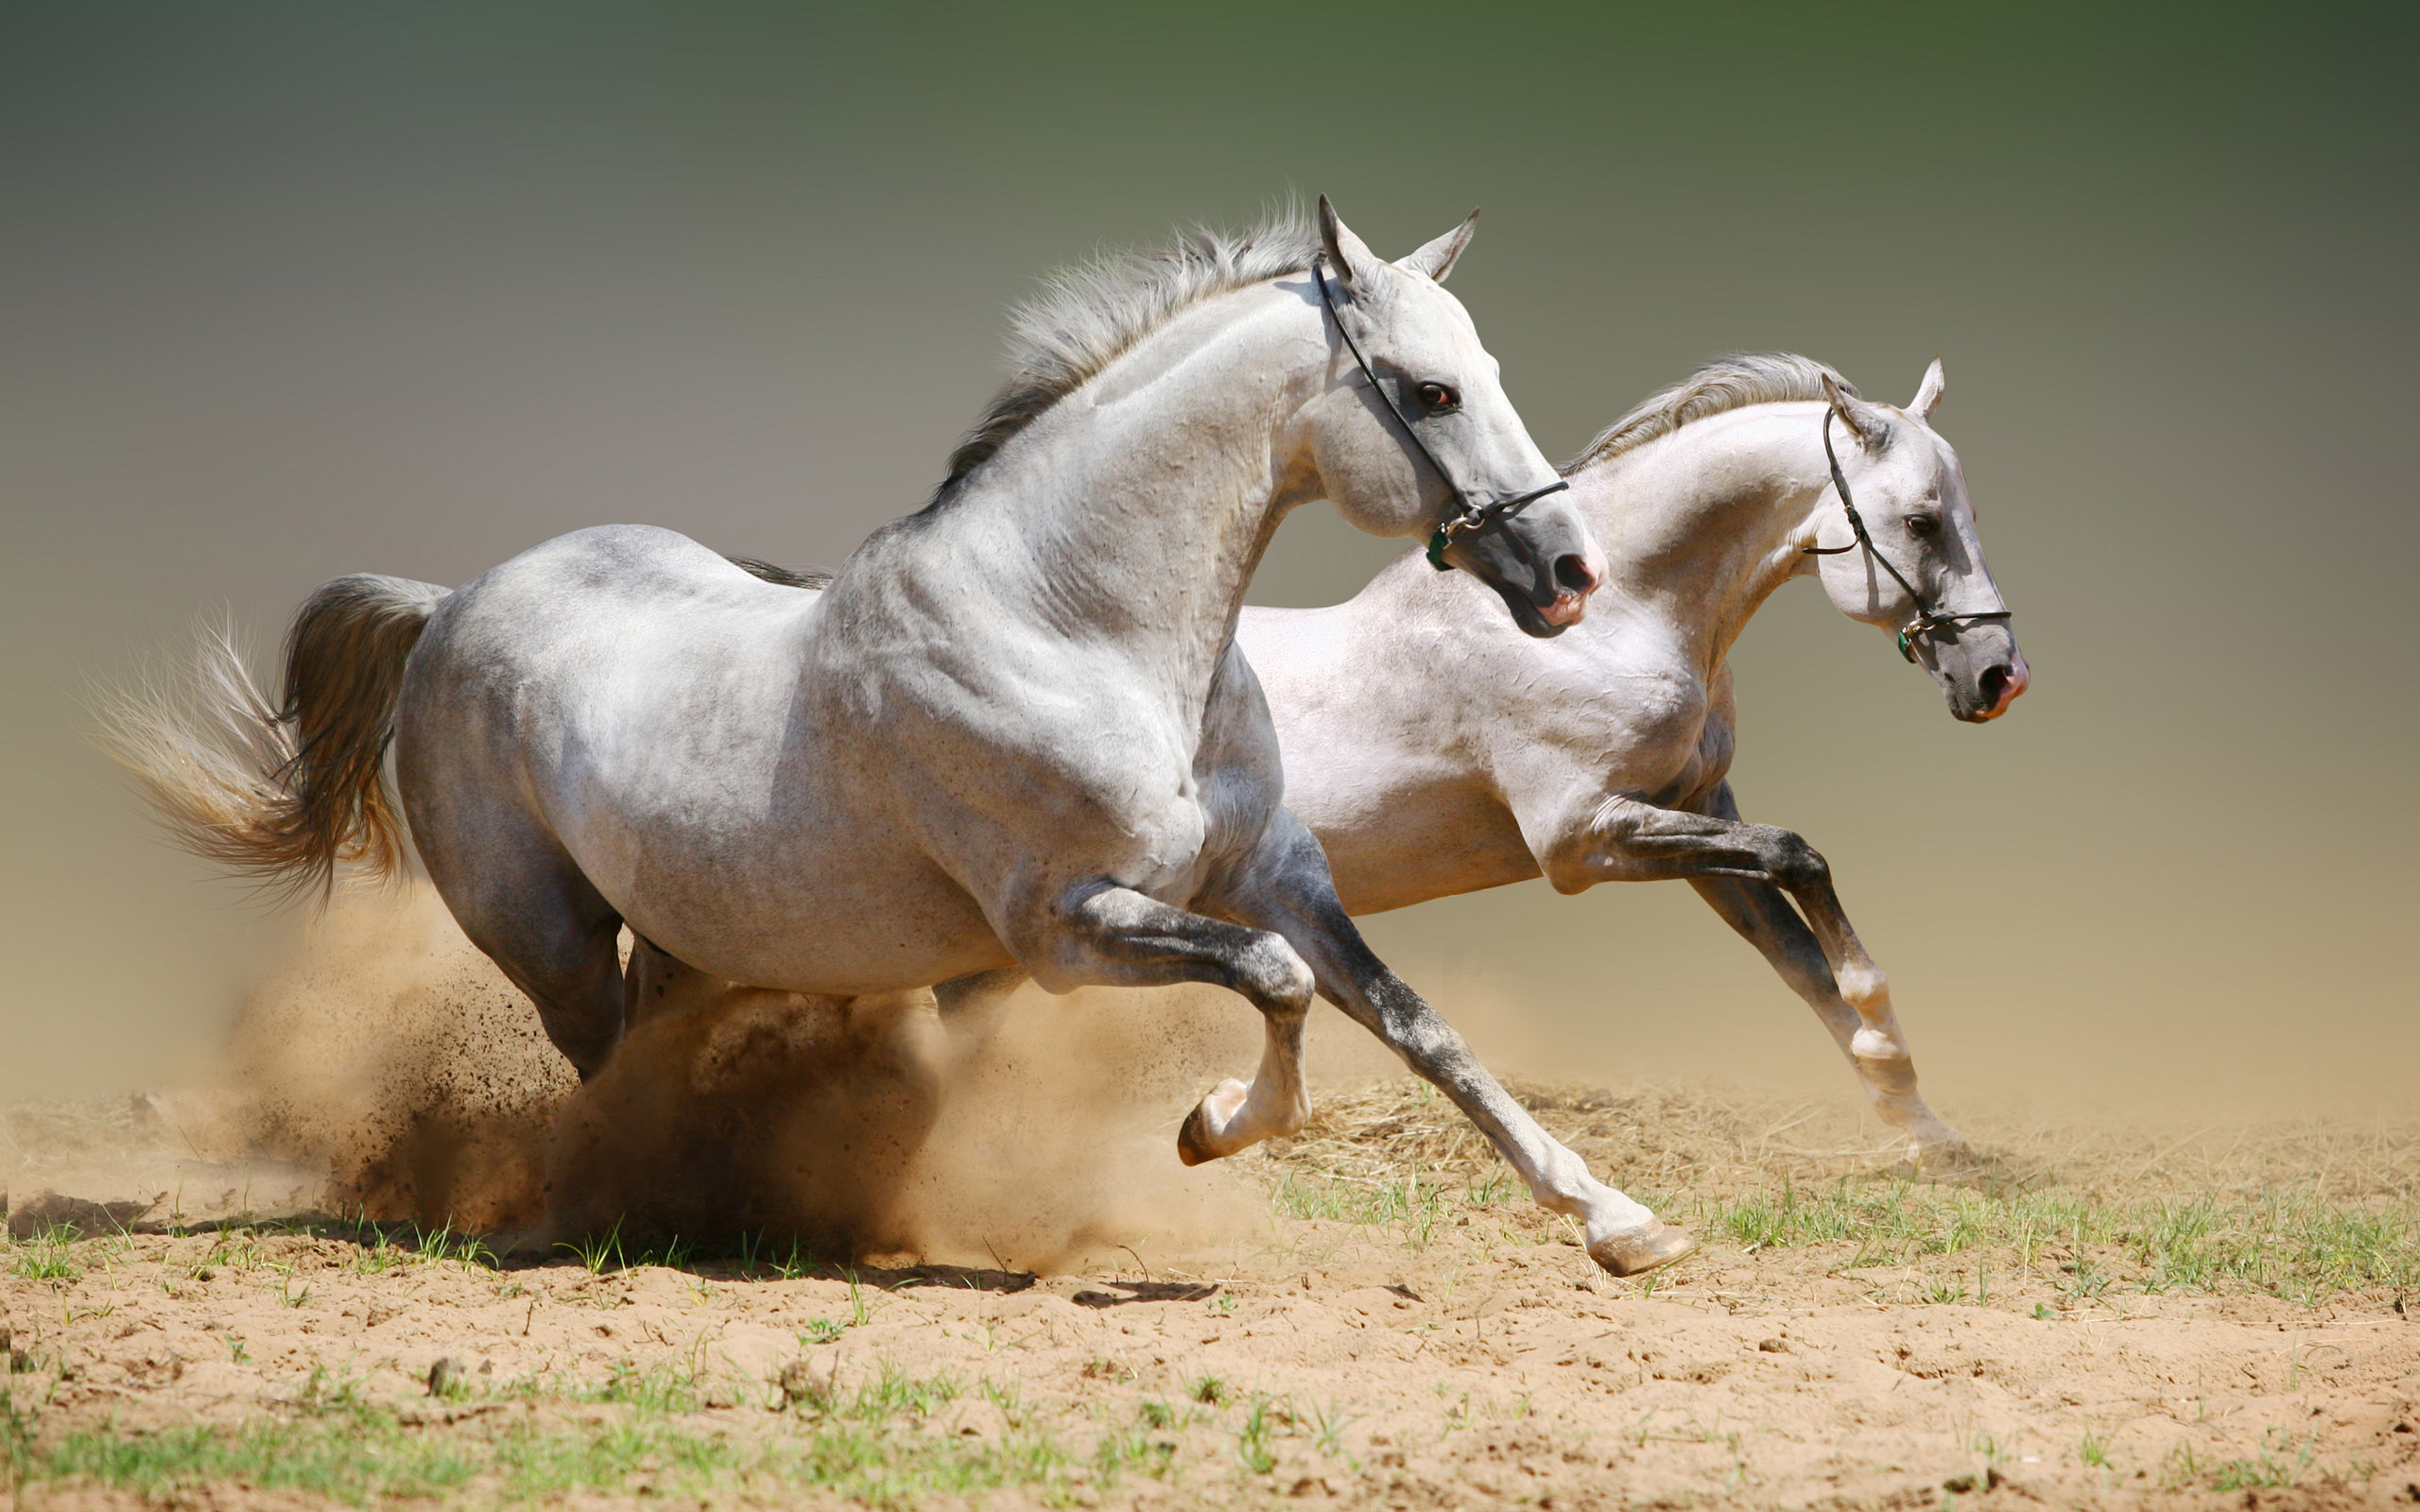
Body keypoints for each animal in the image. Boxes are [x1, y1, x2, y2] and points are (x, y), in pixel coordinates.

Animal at [113, 203, 1703, 1277]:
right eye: (1430, 391)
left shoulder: (1276, 876)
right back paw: (626, 1210)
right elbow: (1276, 989)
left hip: (687, 937)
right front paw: (1207, 1126)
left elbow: (1418, 1027)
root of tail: (449, 605)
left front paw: (1621, 1223)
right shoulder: (1067, 929)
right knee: (602, 1071)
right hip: (548, 938)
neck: (1077, 625)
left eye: (1482, 366)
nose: (1569, 573)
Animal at [1238, 352, 2032, 1156]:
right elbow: (1799, 856)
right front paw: (1883, 1037)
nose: (2001, 677)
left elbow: (1802, 960)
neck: (1611, 622)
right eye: (1922, 522)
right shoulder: (1581, 839)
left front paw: (1925, 1128)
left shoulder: (1696, 814)